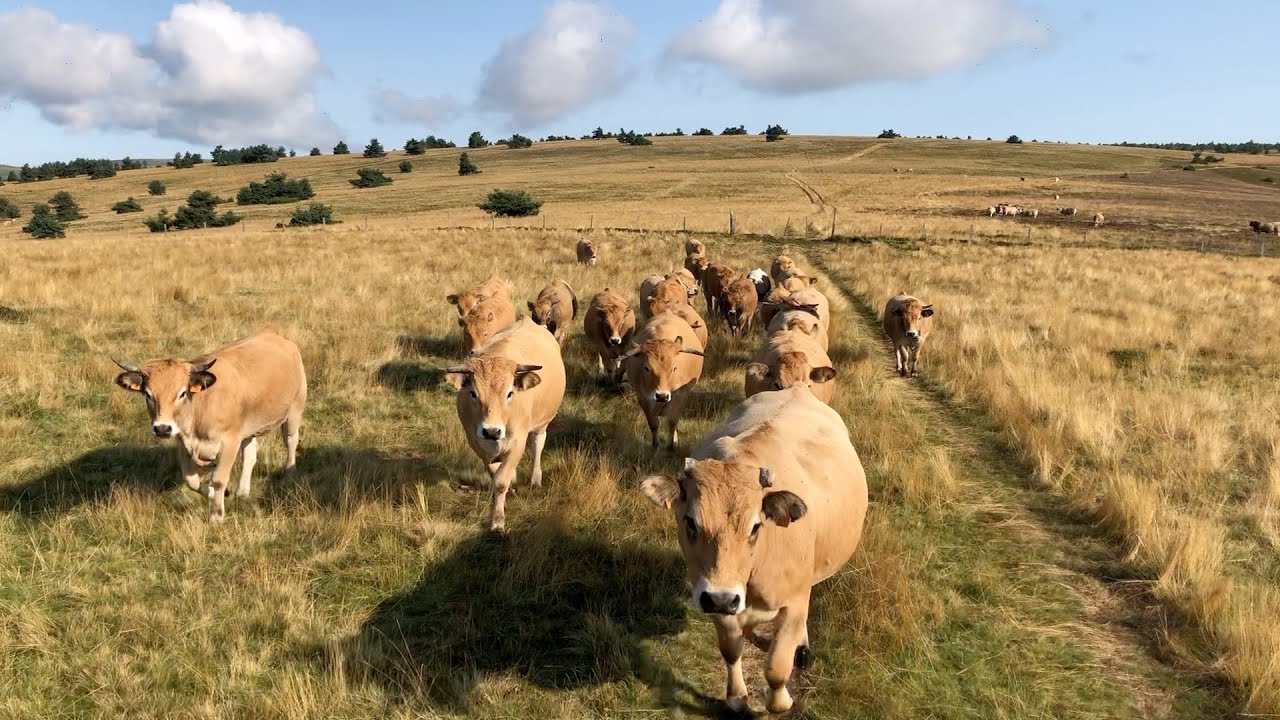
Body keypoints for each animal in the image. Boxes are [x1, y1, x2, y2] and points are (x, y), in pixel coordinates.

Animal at [112, 330, 307, 523]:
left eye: (182, 393)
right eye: (148, 394)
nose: (162, 428)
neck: (201, 406)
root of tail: (277, 337)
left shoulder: (230, 442)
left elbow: (219, 479)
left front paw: (217, 515)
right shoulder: (183, 444)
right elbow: (191, 481)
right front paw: (216, 494)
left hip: (294, 411)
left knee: (291, 441)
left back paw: (289, 473)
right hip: (249, 428)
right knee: (250, 455)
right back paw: (242, 492)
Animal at [443, 318, 566, 531]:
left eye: (510, 393)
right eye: (473, 393)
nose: (491, 431)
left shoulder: (517, 442)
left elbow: (501, 481)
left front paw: (497, 521)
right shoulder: (477, 443)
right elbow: (496, 476)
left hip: (542, 423)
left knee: (537, 445)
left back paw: (535, 478)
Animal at [622, 313, 705, 451]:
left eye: (674, 368)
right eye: (647, 368)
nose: (662, 396)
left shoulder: (681, 396)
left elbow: (672, 422)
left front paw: (671, 446)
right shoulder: (643, 397)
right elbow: (653, 424)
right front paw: (655, 445)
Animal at [639, 386, 868, 714]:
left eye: (756, 526)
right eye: (690, 521)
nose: (722, 597)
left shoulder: (793, 603)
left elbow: (777, 668)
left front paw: (782, 700)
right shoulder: (718, 599)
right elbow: (731, 649)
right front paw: (737, 698)